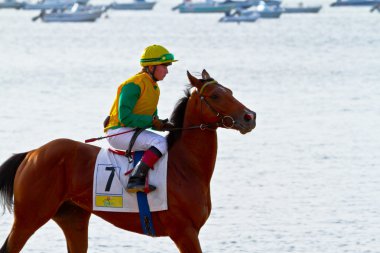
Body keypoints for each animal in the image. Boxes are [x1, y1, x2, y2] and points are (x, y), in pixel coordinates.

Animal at [0, 69, 256, 253]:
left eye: (230, 91)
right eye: (215, 96)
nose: (249, 117)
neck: (185, 167)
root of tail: (32, 153)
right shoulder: (184, 232)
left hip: (73, 218)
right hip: (29, 218)